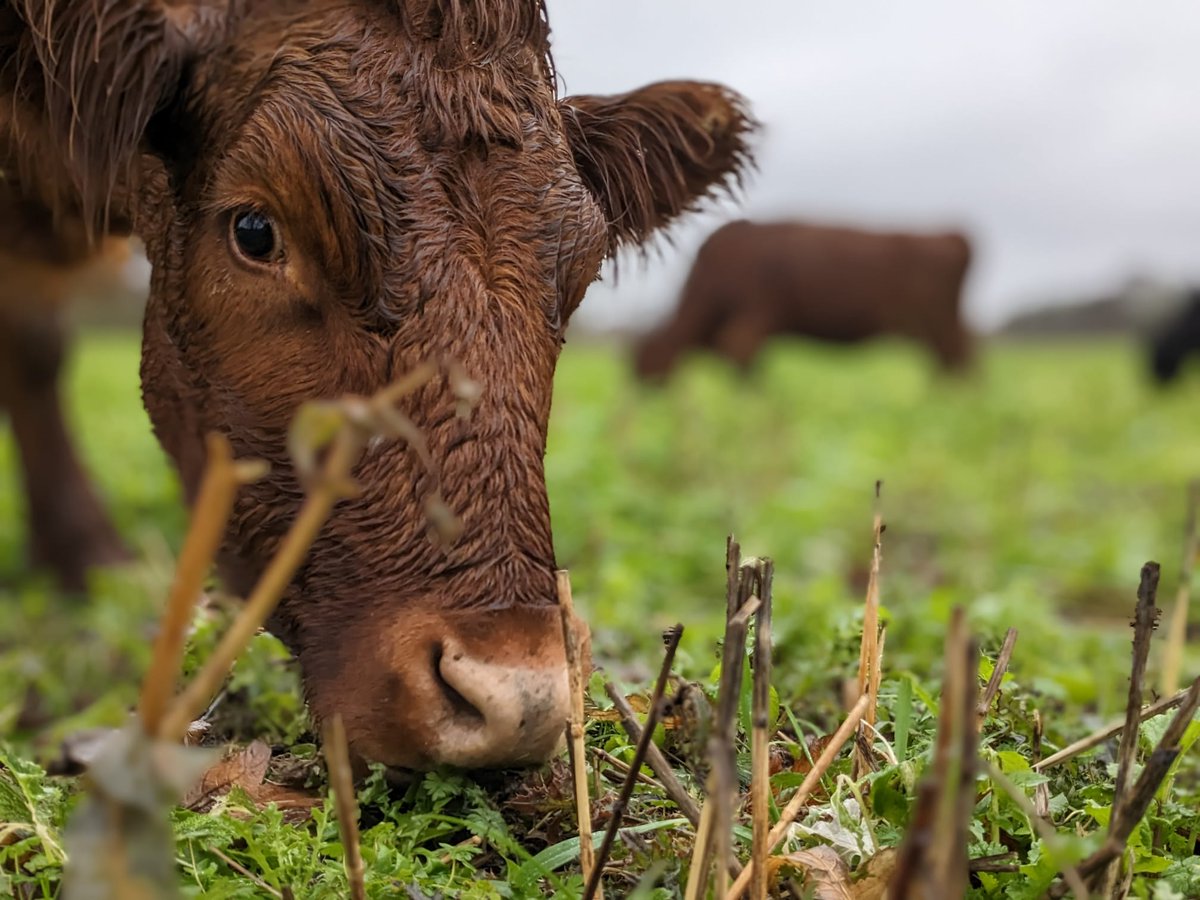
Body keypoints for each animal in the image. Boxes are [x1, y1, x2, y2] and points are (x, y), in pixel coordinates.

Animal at [633, 219, 973, 380]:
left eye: (646, 361)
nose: (640, 400)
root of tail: (953, 236)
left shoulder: (755, 315)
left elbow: (742, 355)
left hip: (936, 323)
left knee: (957, 359)